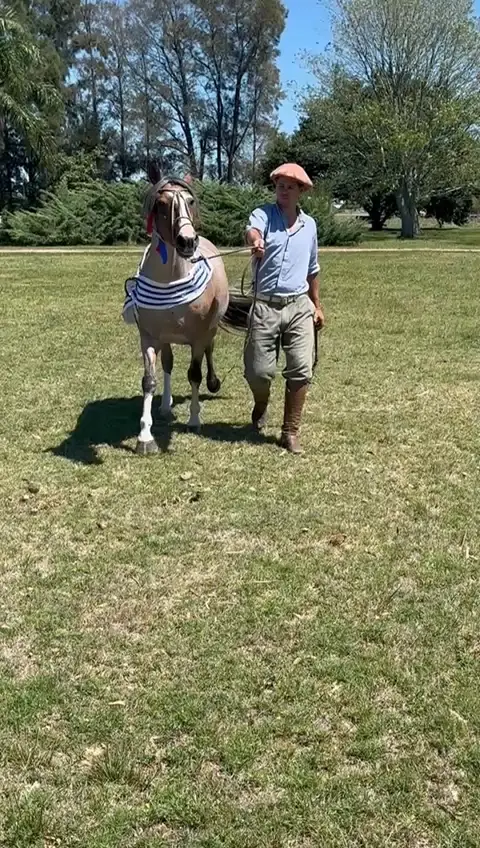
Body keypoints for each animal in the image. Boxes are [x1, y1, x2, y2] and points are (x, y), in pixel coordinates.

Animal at [123, 164, 229, 454]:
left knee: (209, 353)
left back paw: (212, 383)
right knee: (168, 364)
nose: (187, 242)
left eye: (190, 202)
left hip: (210, 330)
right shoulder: (149, 337)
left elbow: (194, 374)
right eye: (161, 204)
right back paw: (166, 405)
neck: (172, 278)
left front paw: (194, 419)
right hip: (166, 338)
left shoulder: (198, 336)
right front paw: (145, 437)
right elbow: (149, 380)